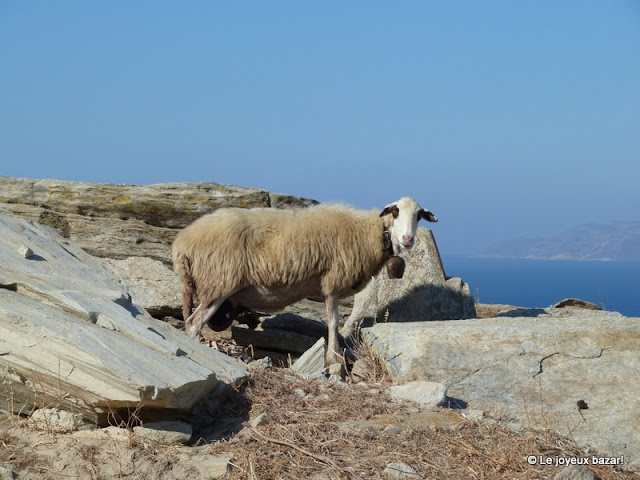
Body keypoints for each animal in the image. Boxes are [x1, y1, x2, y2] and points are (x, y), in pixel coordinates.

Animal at [172, 197, 438, 366]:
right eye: (395, 212)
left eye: (419, 217)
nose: (407, 239)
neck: (370, 232)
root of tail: (182, 243)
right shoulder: (332, 281)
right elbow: (333, 323)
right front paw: (333, 360)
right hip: (218, 282)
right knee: (194, 324)